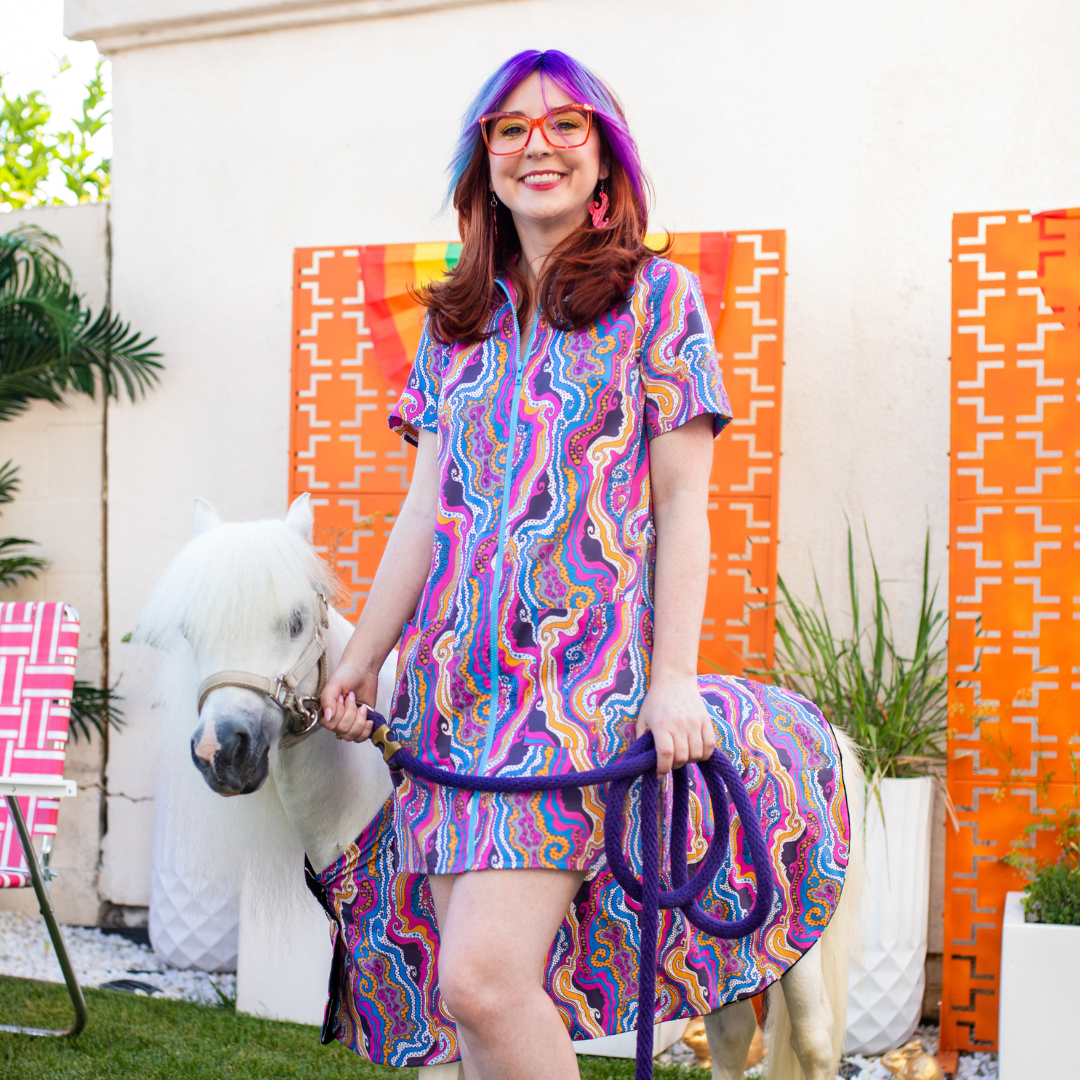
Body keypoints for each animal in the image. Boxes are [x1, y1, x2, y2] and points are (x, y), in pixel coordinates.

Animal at [139, 496, 859, 1080]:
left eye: (294, 620)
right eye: (189, 632)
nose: (221, 753)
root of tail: (810, 715)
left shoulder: (437, 1027)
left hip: (792, 953)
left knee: (816, 1046)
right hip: (720, 959)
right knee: (732, 1038)